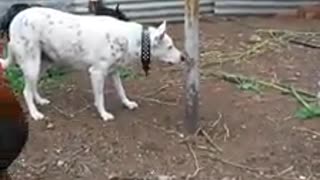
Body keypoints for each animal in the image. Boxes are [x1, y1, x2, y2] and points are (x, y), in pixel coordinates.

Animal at [0, 7, 185, 121]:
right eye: (170, 47)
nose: (183, 57)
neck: (130, 38)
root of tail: (16, 18)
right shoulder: (97, 73)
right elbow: (100, 97)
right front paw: (103, 114)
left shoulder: (113, 72)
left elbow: (121, 91)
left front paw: (127, 103)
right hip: (32, 63)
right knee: (25, 91)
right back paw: (35, 113)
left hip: (42, 64)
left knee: (32, 87)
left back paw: (40, 101)